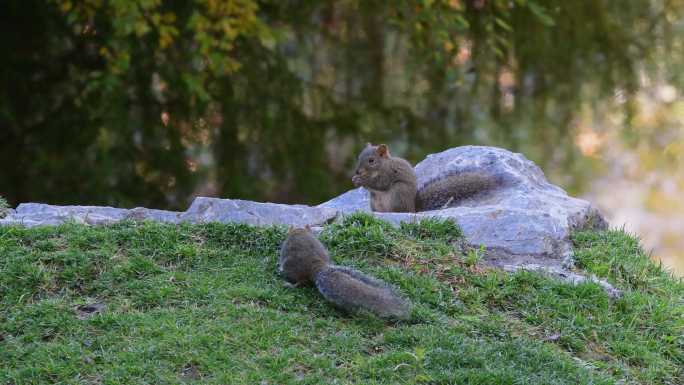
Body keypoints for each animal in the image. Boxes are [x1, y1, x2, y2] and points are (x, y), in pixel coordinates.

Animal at [352, 142, 496, 212]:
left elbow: (380, 184)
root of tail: (414, 209)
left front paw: (362, 180)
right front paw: (355, 179)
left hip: (399, 192)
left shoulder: (389, 174)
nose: (357, 171)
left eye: (371, 160)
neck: (383, 165)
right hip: (374, 202)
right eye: (358, 157)